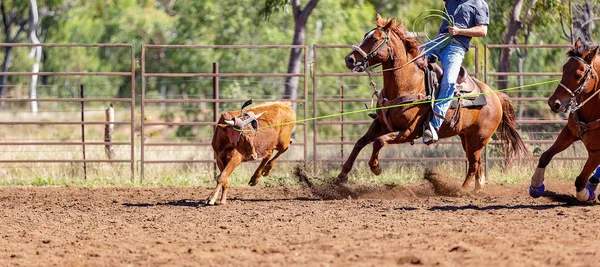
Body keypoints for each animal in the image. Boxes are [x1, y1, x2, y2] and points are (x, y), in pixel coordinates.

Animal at [340, 14, 528, 193]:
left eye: (374, 39)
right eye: (366, 35)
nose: (349, 59)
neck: (407, 85)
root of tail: (495, 95)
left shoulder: (409, 131)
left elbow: (379, 141)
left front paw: (376, 167)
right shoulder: (380, 123)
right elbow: (360, 142)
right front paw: (342, 175)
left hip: (479, 139)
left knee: (474, 165)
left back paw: (460, 190)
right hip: (467, 137)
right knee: (478, 165)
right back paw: (477, 189)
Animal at [528, 38, 600, 202]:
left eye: (579, 75)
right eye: (564, 68)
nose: (553, 103)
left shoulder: (597, 152)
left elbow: (580, 180)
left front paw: (588, 194)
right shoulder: (569, 133)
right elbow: (545, 156)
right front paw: (536, 186)